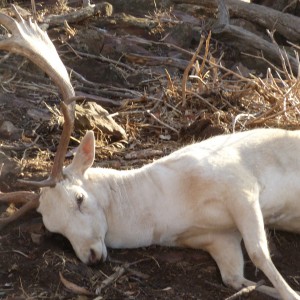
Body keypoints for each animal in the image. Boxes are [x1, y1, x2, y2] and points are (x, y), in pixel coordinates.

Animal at [0, 5, 300, 300]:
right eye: (54, 229)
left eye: (79, 198)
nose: (92, 256)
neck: (166, 209)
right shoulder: (219, 239)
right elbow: (236, 279)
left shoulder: (238, 184)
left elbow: (259, 253)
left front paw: (291, 293)